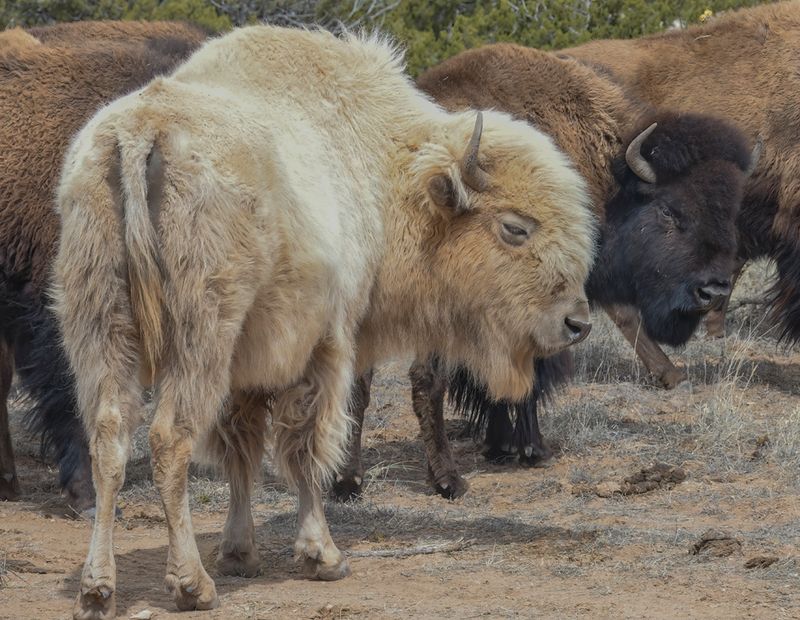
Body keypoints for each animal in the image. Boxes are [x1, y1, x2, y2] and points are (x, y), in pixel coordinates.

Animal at [54, 25, 592, 620]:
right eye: (515, 227)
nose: (576, 322)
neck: (379, 172)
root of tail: (141, 132)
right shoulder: (323, 348)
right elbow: (306, 451)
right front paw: (322, 556)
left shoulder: (251, 363)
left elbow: (243, 450)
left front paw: (240, 553)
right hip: (199, 339)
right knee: (170, 439)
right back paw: (191, 585)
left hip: (100, 329)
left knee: (109, 439)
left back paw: (98, 588)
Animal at [336, 42, 756, 498]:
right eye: (670, 210)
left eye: (731, 209)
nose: (714, 290)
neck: (608, 170)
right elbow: (527, 374)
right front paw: (530, 449)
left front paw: (500, 446)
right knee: (421, 381)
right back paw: (446, 479)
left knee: (360, 381)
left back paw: (348, 480)